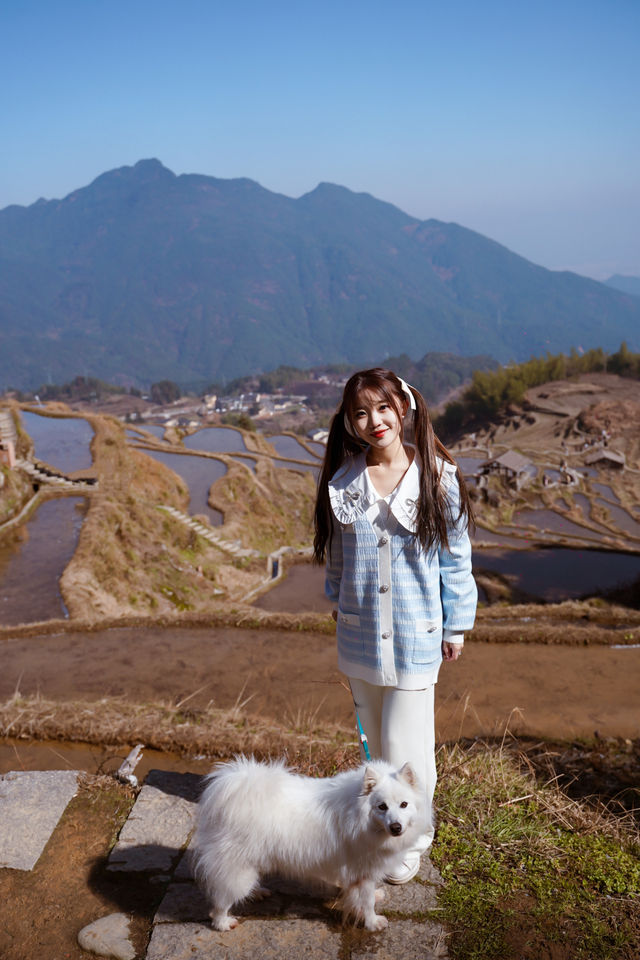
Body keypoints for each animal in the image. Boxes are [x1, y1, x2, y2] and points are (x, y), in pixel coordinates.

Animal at [192, 756, 428, 928]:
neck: (362, 819)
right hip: (238, 867)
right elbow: (366, 902)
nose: (396, 827)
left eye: (404, 804)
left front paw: (375, 898)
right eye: (382, 807)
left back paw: (257, 893)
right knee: (220, 901)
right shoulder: (364, 872)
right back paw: (223, 922)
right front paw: (373, 923)